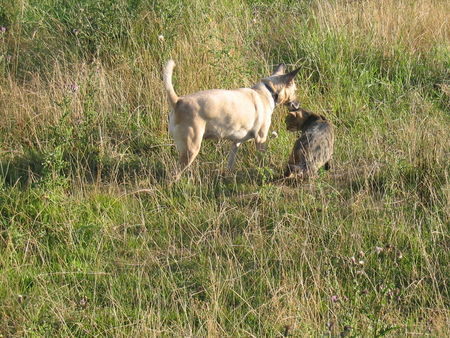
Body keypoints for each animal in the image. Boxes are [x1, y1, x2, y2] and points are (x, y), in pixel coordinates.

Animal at [163, 60, 300, 176]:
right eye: (295, 90)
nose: (298, 104)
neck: (268, 91)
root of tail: (178, 101)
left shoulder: (236, 143)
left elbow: (230, 162)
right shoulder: (261, 139)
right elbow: (262, 161)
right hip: (191, 149)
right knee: (173, 175)